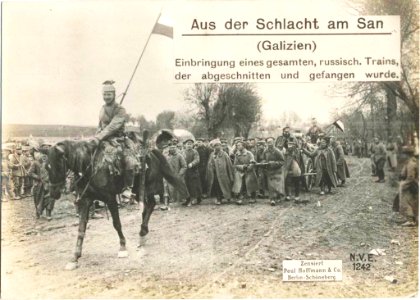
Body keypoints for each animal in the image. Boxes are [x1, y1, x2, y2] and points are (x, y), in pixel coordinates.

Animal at [45, 134, 187, 270]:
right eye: (46, 167)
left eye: (58, 165)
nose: (53, 192)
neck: (90, 167)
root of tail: (151, 152)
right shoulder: (85, 201)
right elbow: (81, 229)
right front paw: (74, 258)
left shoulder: (110, 199)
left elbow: (116, 224)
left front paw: (123, 248)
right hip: (138, 190)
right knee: (147, 206)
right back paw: (143, 234)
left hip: (149, 187)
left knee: (151, 205)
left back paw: (142, 233)